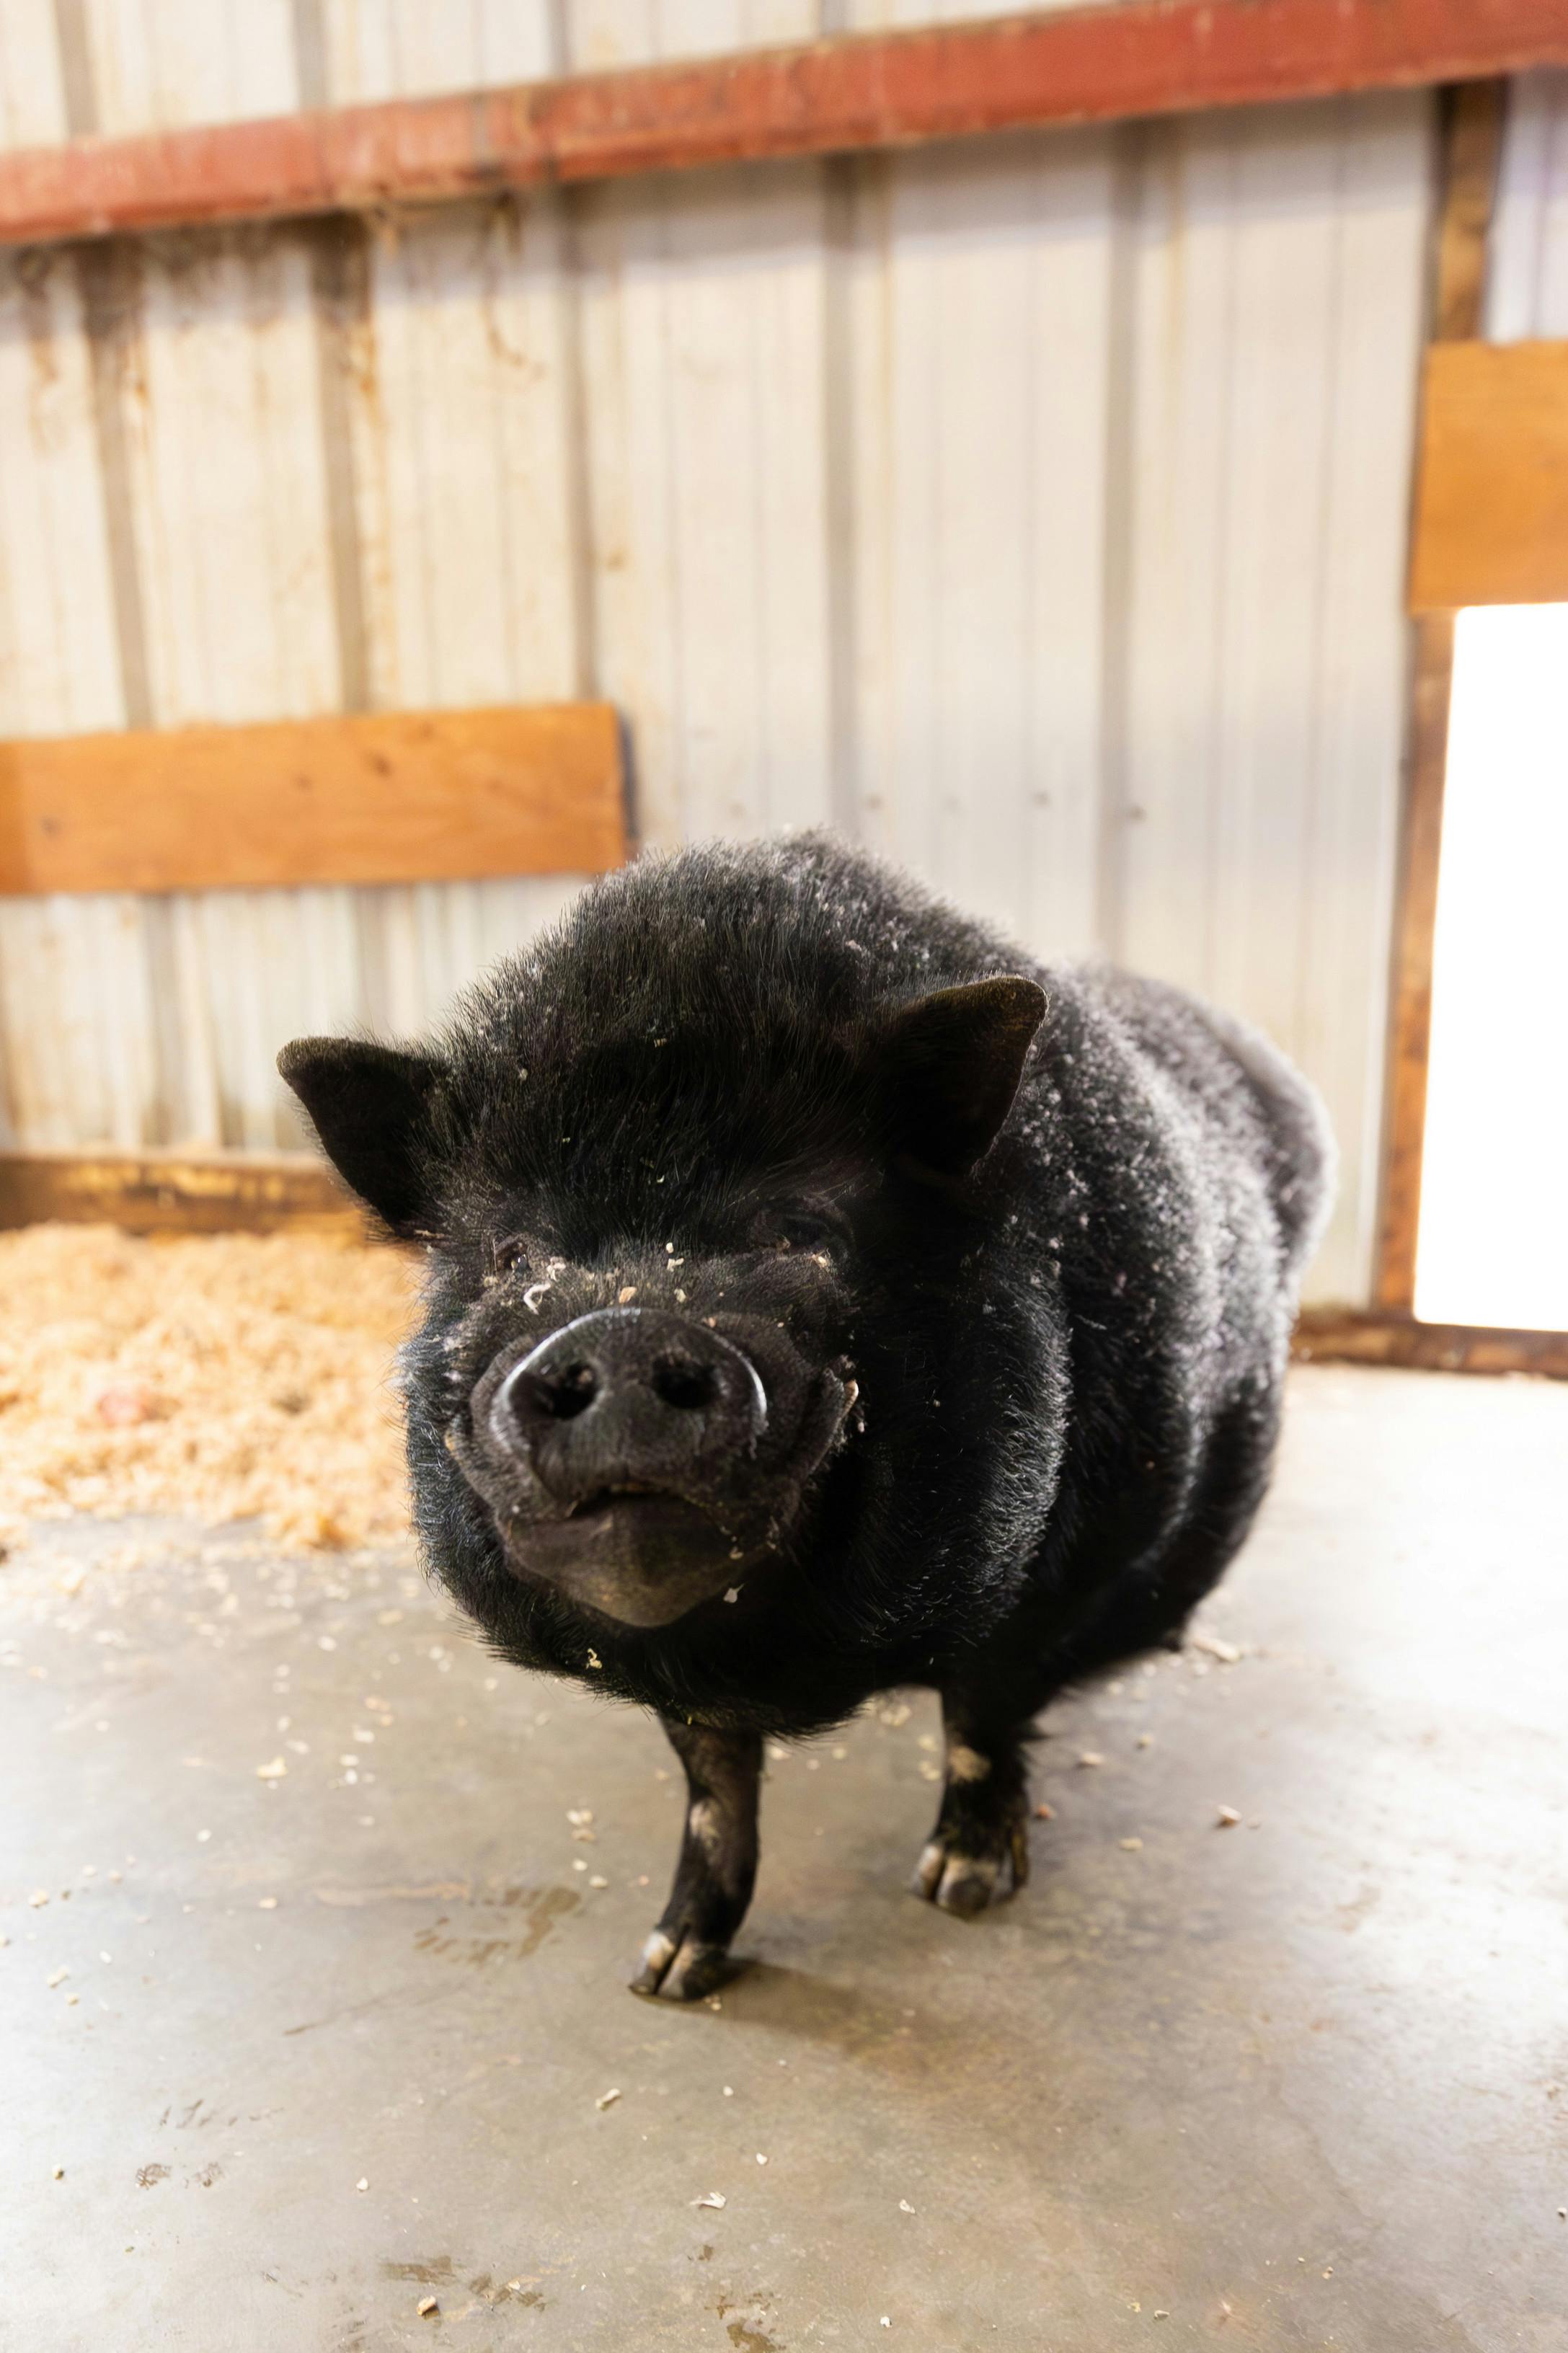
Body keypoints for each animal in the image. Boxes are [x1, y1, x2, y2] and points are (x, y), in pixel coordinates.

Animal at [279, 834, 1331, 2001]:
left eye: (801, 1231)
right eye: (510, 1255)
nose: (622, 1329)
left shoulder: (1047, 1574)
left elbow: (982, 1713)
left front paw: (960, 1891)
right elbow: (713, 1791)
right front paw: (666, 1973)